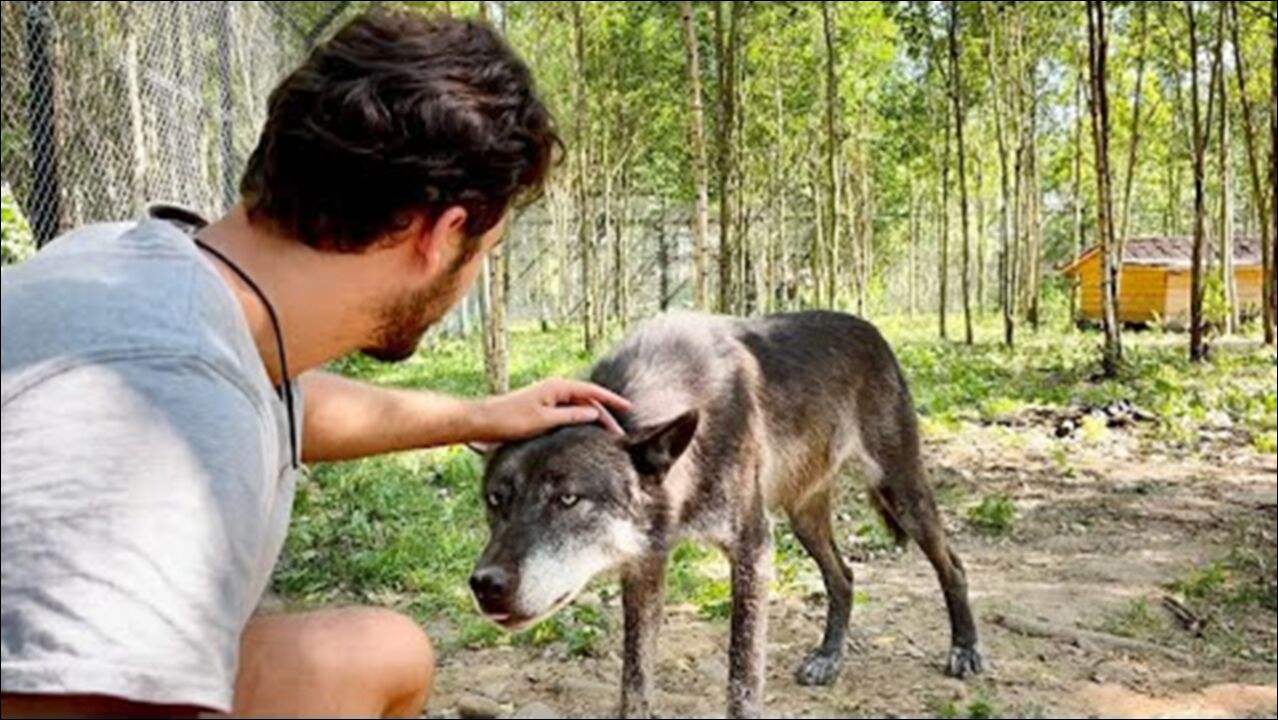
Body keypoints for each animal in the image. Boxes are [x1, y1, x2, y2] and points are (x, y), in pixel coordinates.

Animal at [467, 310, 976, 720]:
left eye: (568, 499)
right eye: (495, 500)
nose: (485, 585)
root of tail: (869, 328)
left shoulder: (752, 551)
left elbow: (742, 672)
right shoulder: (645, 567)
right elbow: (635, 679)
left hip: (902, 492)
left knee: (951, 563)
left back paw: (965, 649)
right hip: (803, 519)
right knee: (844, 575)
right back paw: (828, 658)